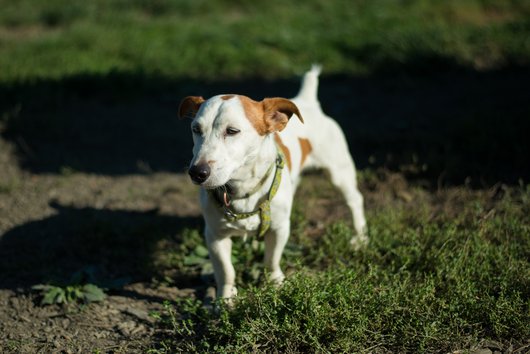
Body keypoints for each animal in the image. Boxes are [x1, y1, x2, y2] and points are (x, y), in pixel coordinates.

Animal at [179, 65, 366, 298]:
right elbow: (225, 270)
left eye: (232, 131)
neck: (243, 189)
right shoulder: (215, 235)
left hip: (339, 172)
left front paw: (275, 282)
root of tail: (307, 100)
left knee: (355, 200)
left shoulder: (279, 228)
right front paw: (226, 297)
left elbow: (272, 259)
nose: (197, 172)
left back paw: (360, 237)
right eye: (195, 129)